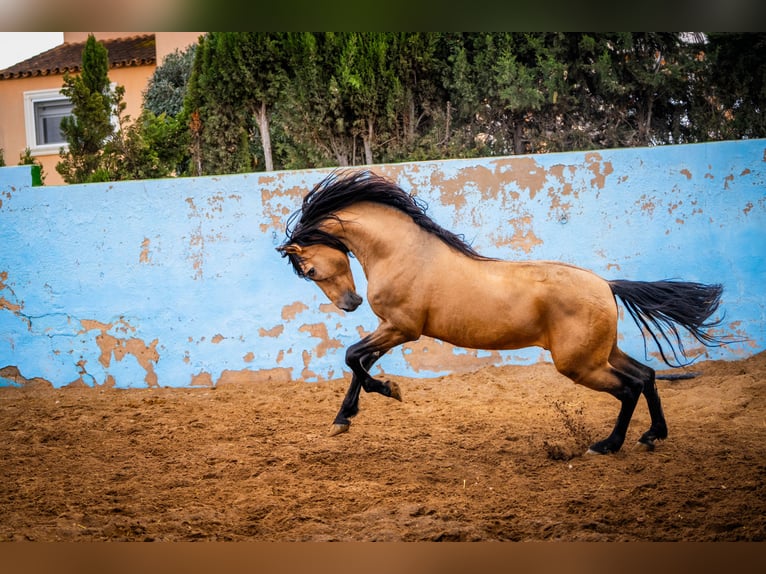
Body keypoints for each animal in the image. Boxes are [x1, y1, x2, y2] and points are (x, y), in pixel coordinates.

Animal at [276, 169, 728, 456]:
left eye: (310, 270)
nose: (349, 304)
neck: (403, 252)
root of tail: (607, 286)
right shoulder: (392, 328)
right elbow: (359, 362)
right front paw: (343, 419)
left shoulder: (402, 327)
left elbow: (353, 357)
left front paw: (388, 391)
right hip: (601, 353)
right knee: (647, 376)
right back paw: (653, 436)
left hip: (580, 364)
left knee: (630, 387)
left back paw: (607, 445)